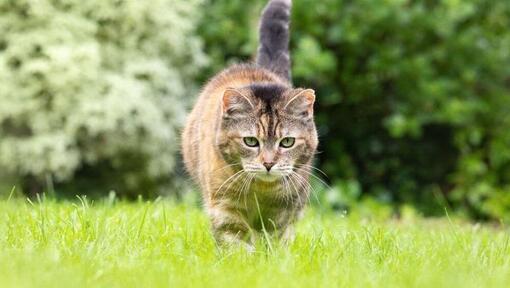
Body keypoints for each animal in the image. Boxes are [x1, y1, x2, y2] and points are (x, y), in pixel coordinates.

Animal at [182, 0, 318, 248]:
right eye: (250, 141)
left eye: (287, 142)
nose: (268, 163)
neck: (261, 190)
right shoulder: (224, 207)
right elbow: (236, 242)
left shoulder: (284, 211)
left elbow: (276, 239)